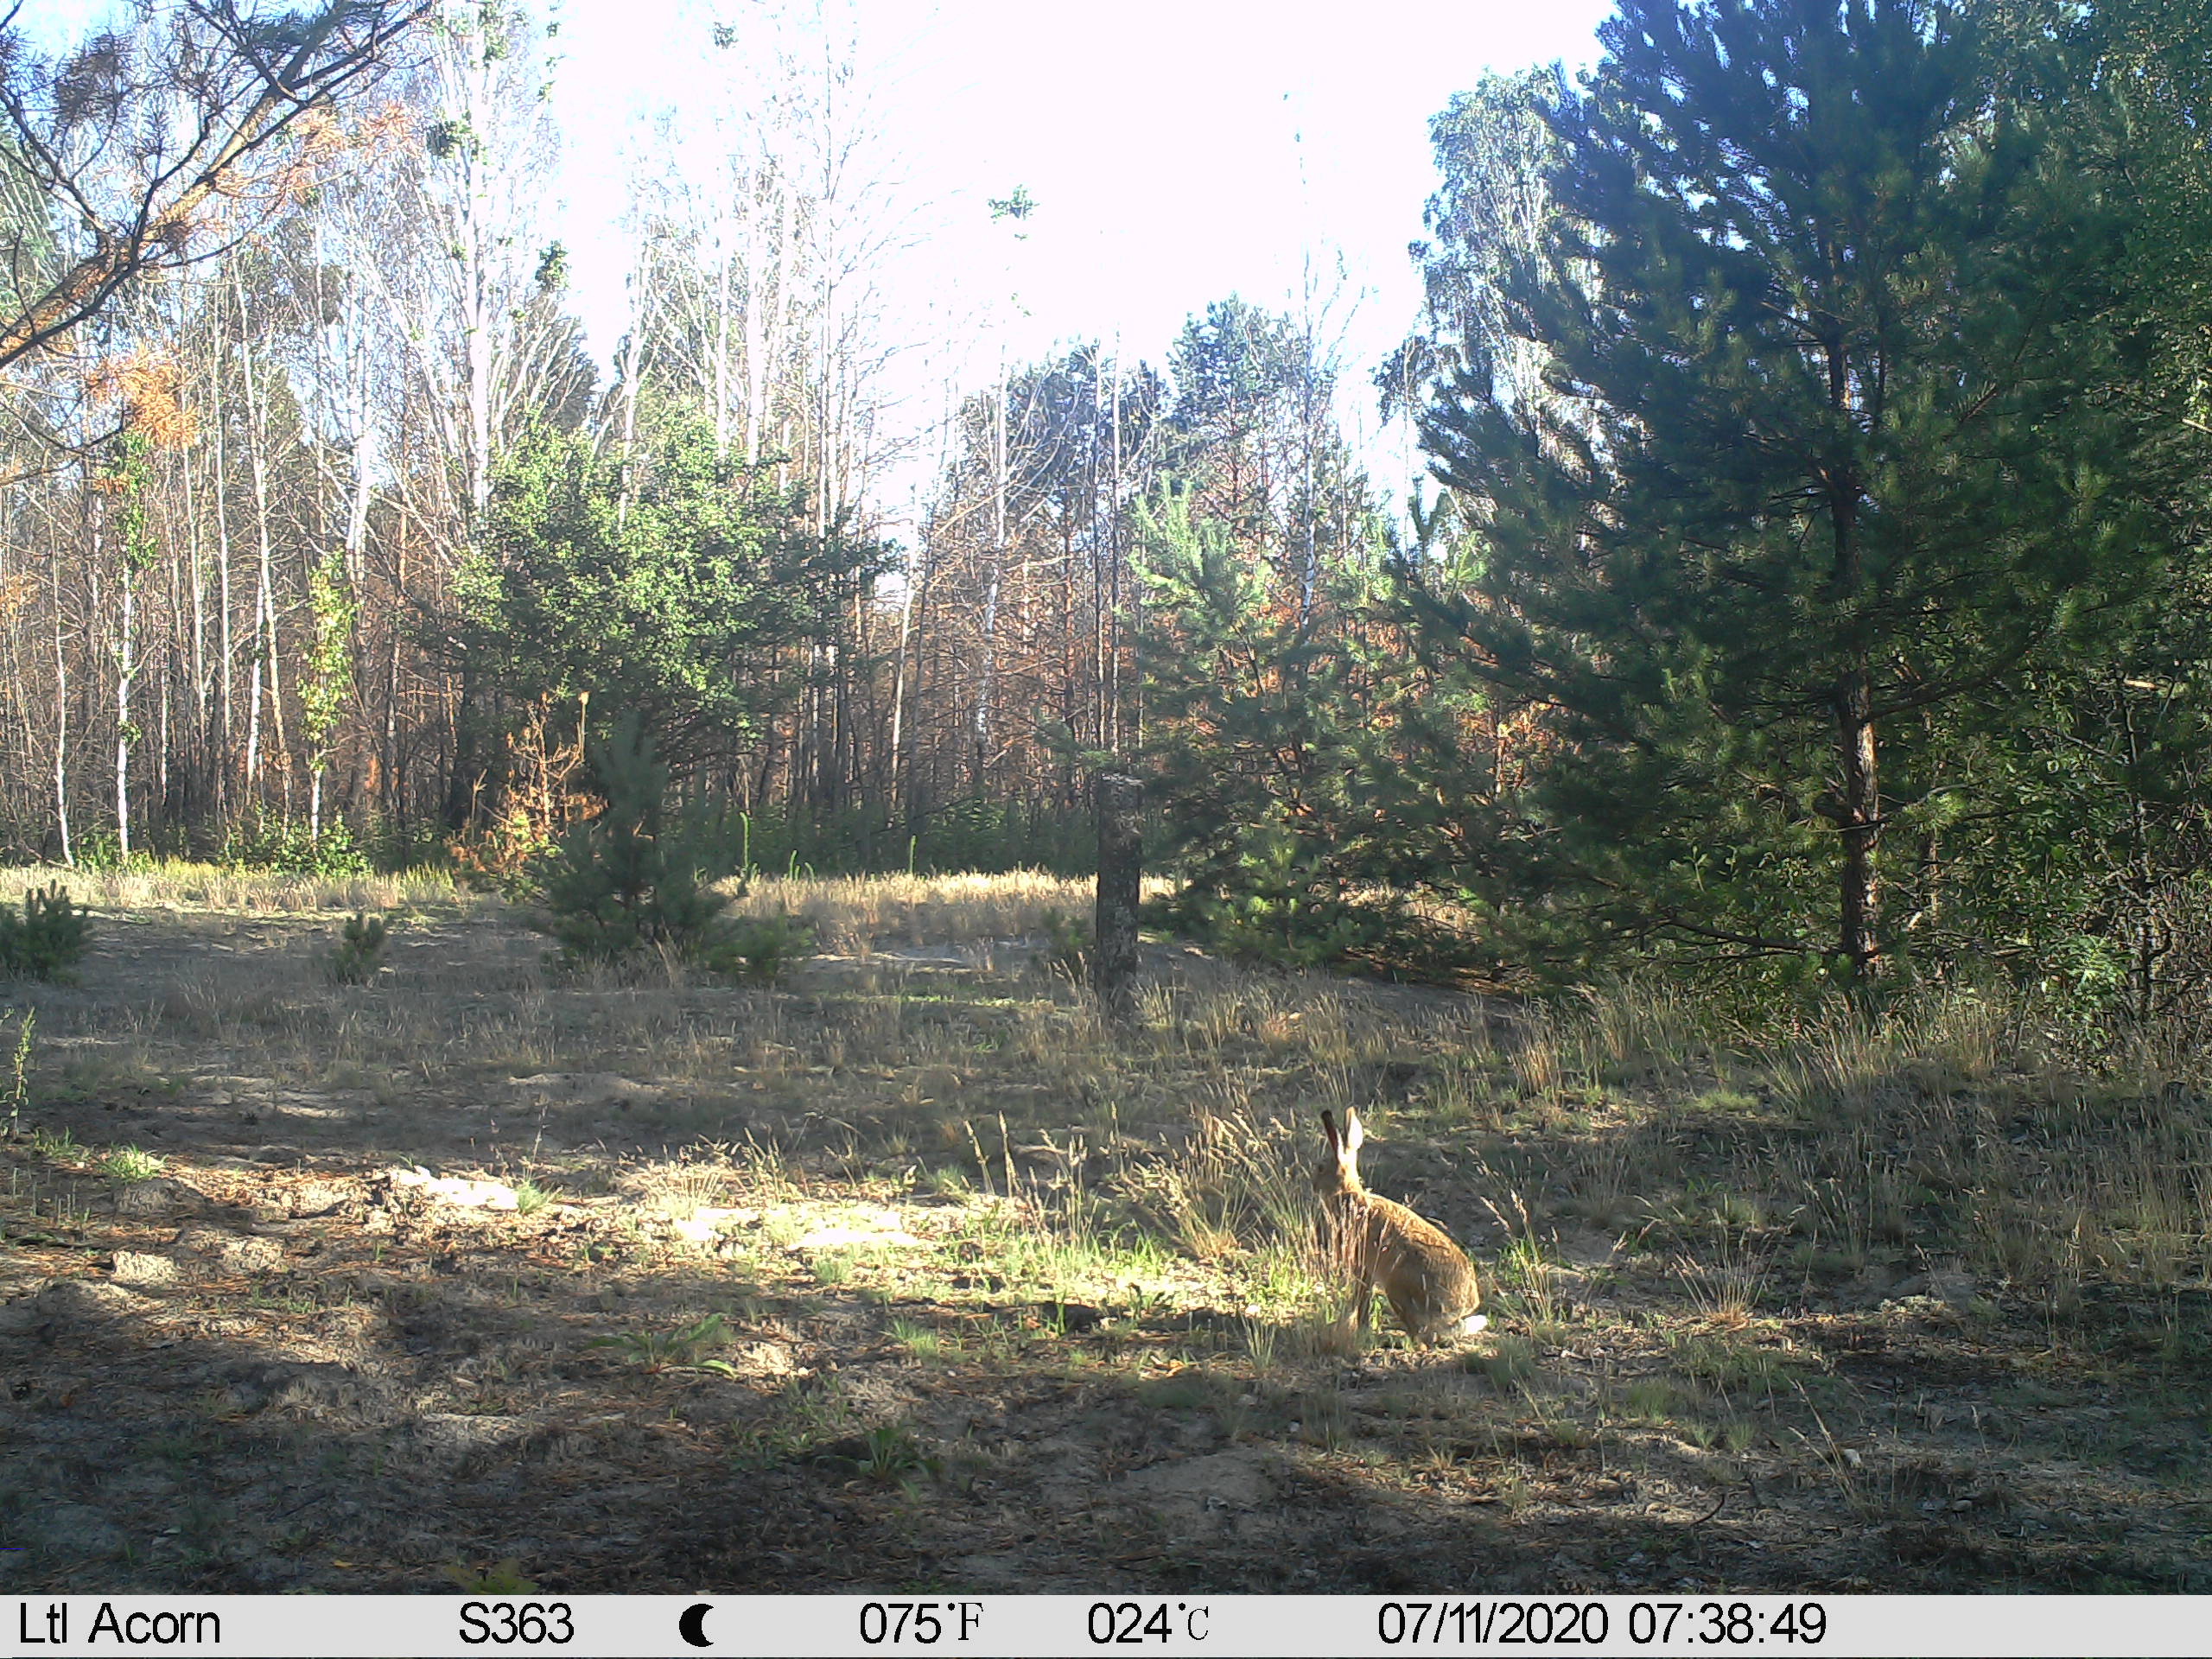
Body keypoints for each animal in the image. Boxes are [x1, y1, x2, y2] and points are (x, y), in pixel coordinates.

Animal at [1314, 1106, 1486, 1346]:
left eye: (1321, 1168)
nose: (1314, 1185)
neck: (1347, 1192)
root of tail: (1459, 1311)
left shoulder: (1361, 1265)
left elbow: (1360, 1298)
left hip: (1398, 1289)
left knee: (1421, 1339)